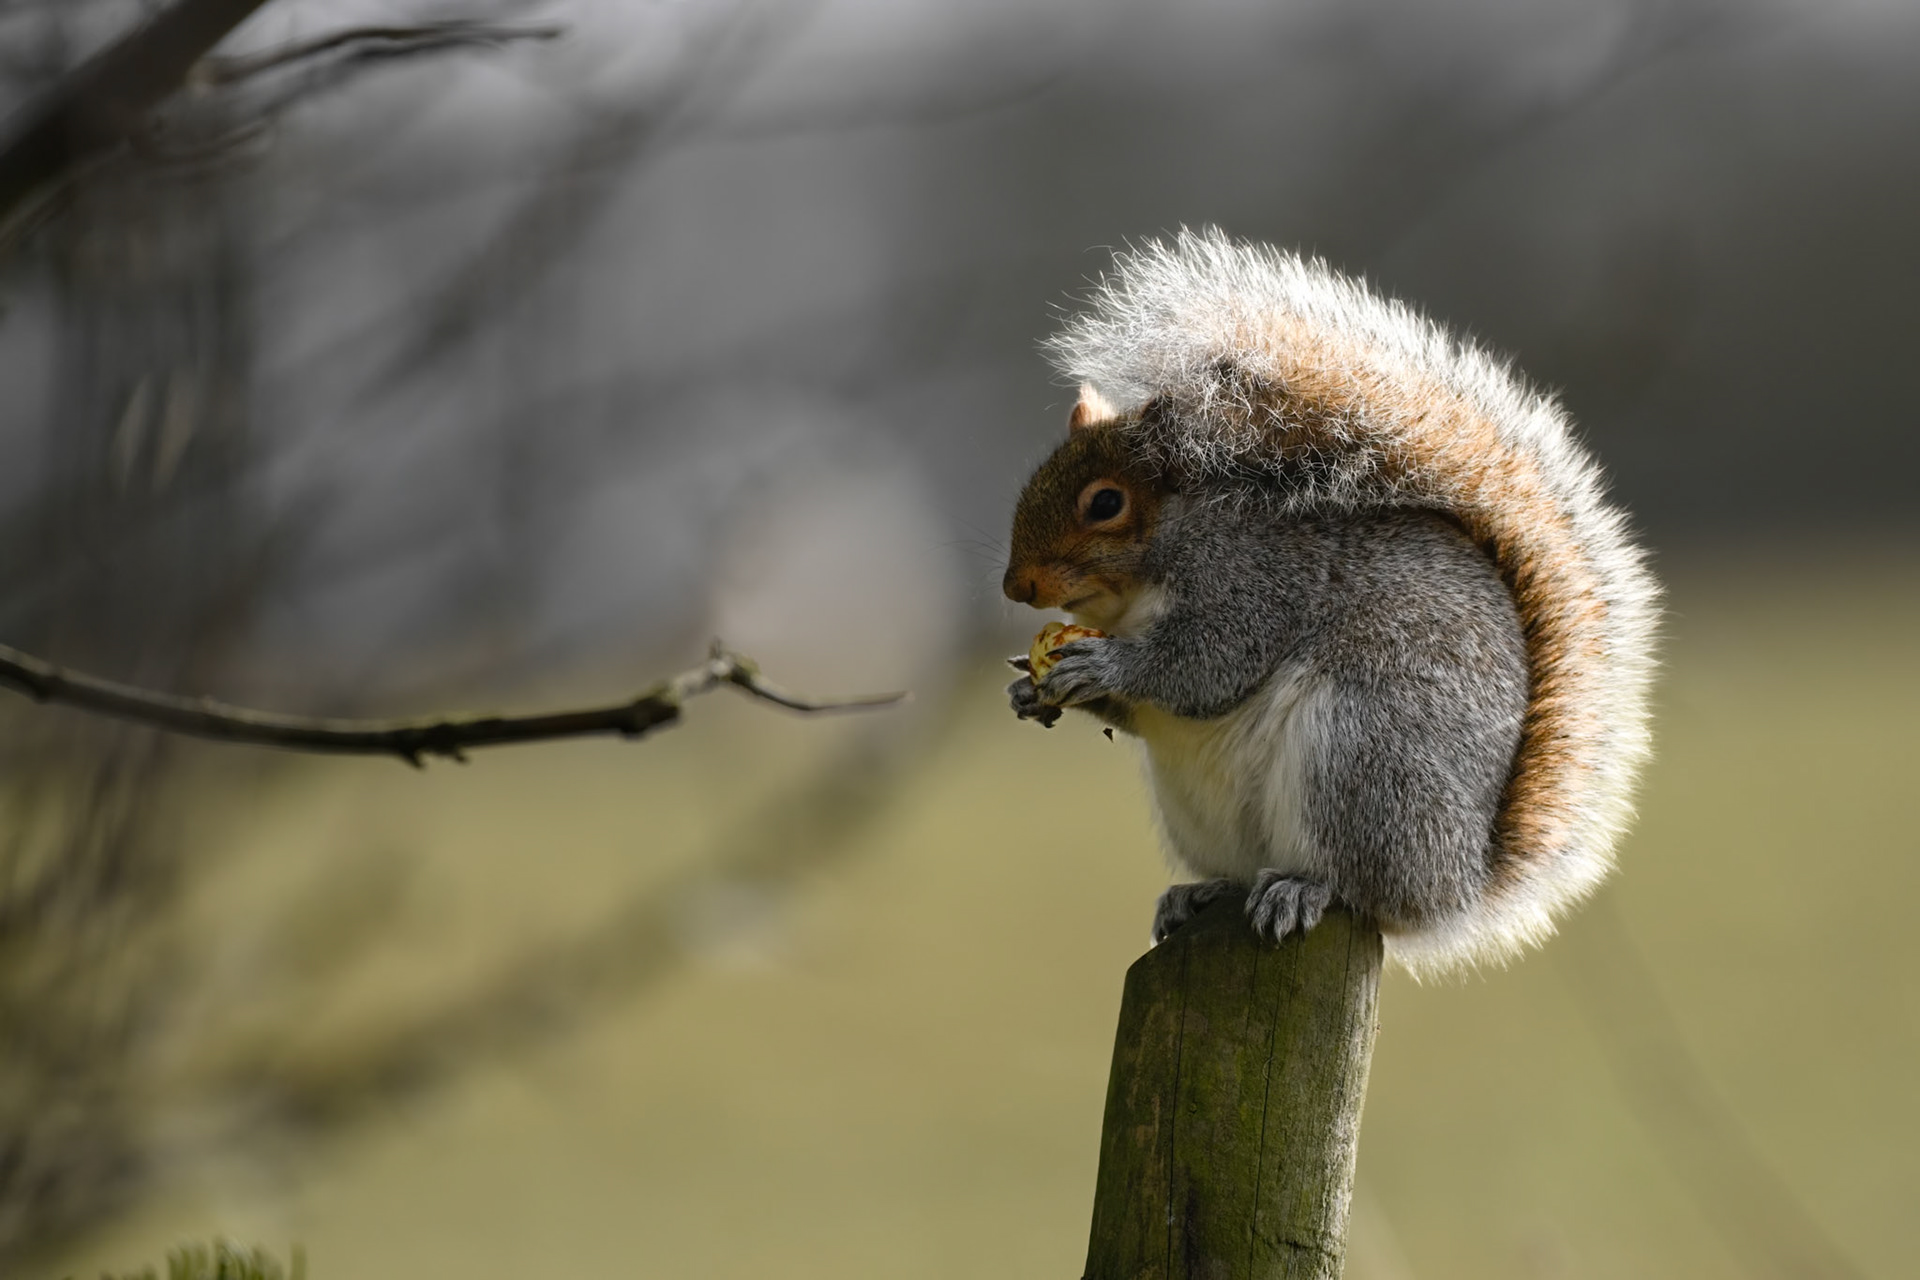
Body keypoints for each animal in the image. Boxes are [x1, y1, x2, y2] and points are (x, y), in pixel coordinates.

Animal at [1002, 228, 1658, 977]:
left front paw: (1102, 668)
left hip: (1361, 756)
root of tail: (1457, 885)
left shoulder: (1255, 581)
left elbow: (1206, 668)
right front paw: (1028, 690)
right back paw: (1197, 896)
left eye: (1106, 503)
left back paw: (1304, 889)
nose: (1016, 587)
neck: (1132, 599)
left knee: (1361, 888)